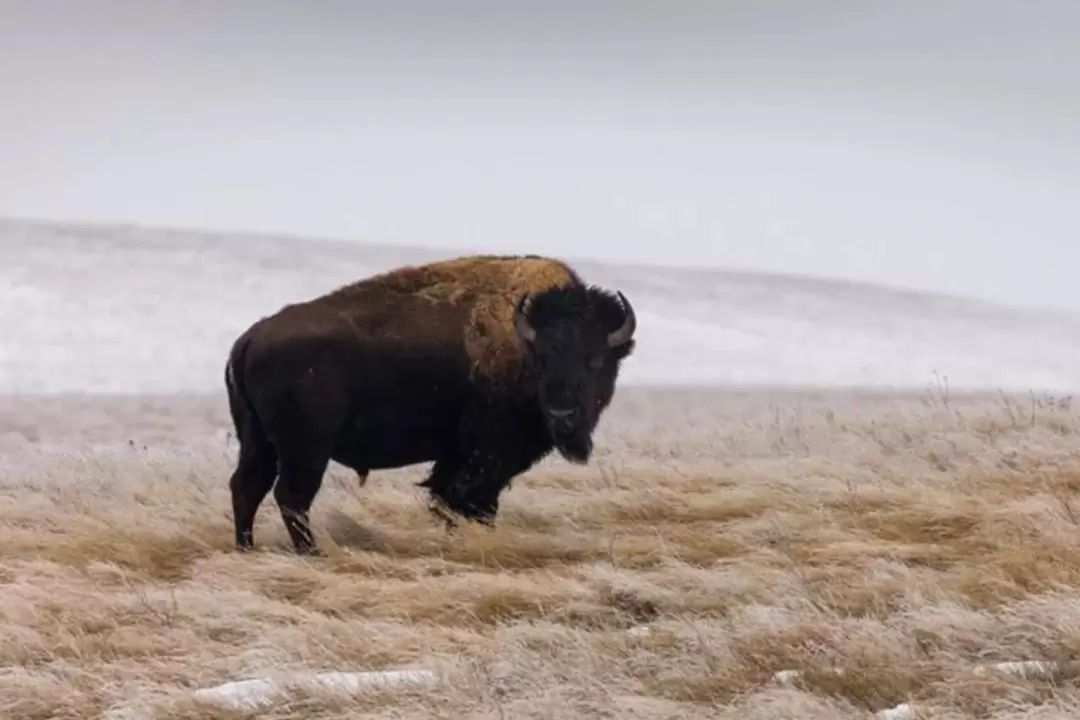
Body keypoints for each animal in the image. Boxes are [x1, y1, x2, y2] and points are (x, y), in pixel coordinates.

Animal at [223, 255, 635, 557]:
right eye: (543, 359)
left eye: (596, 360)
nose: (563, 416)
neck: (522, 343)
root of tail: (250, 338)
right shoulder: (483, 457)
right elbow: (465, 501)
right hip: (306, 448)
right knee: (290, 495)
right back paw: (312, 552)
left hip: (258, 440)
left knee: (248, 486)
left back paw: (247, 548)